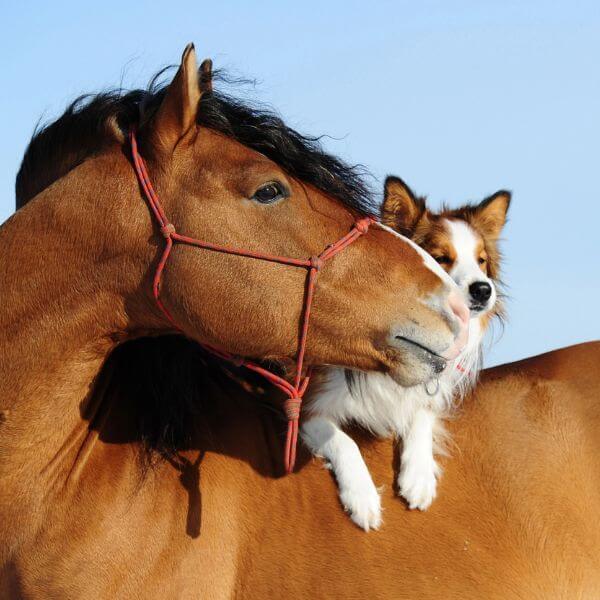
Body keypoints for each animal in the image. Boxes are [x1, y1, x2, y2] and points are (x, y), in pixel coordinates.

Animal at [302, 175, 508, 528]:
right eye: (441, 258)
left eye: (481, 261)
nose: (484, 289)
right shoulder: (308, 406)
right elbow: (342, 439)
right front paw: (362, 497)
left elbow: (423, 412)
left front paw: (419, 476)